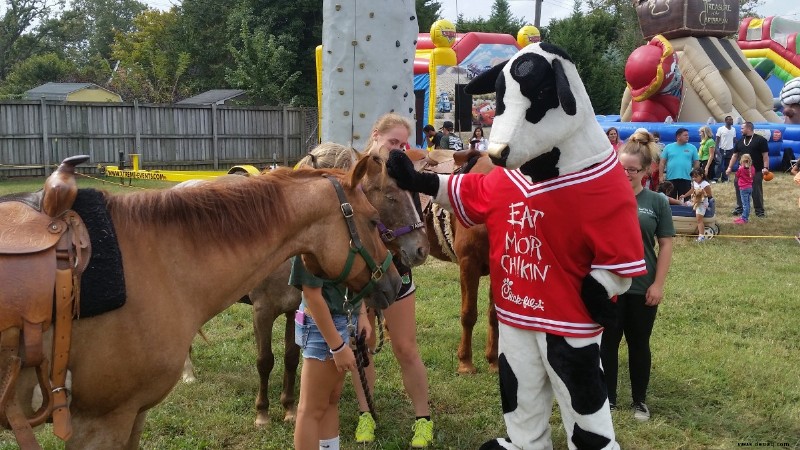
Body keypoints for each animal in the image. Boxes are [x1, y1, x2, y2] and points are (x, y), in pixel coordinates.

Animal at [1, 157, 398, 446]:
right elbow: (266, 361)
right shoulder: (99, 422)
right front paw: (263, 413)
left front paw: (287, 408)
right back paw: (190, 374)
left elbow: (288, 358)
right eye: (374, 220)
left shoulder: (288, 312)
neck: (147, 258)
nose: (395, 283)